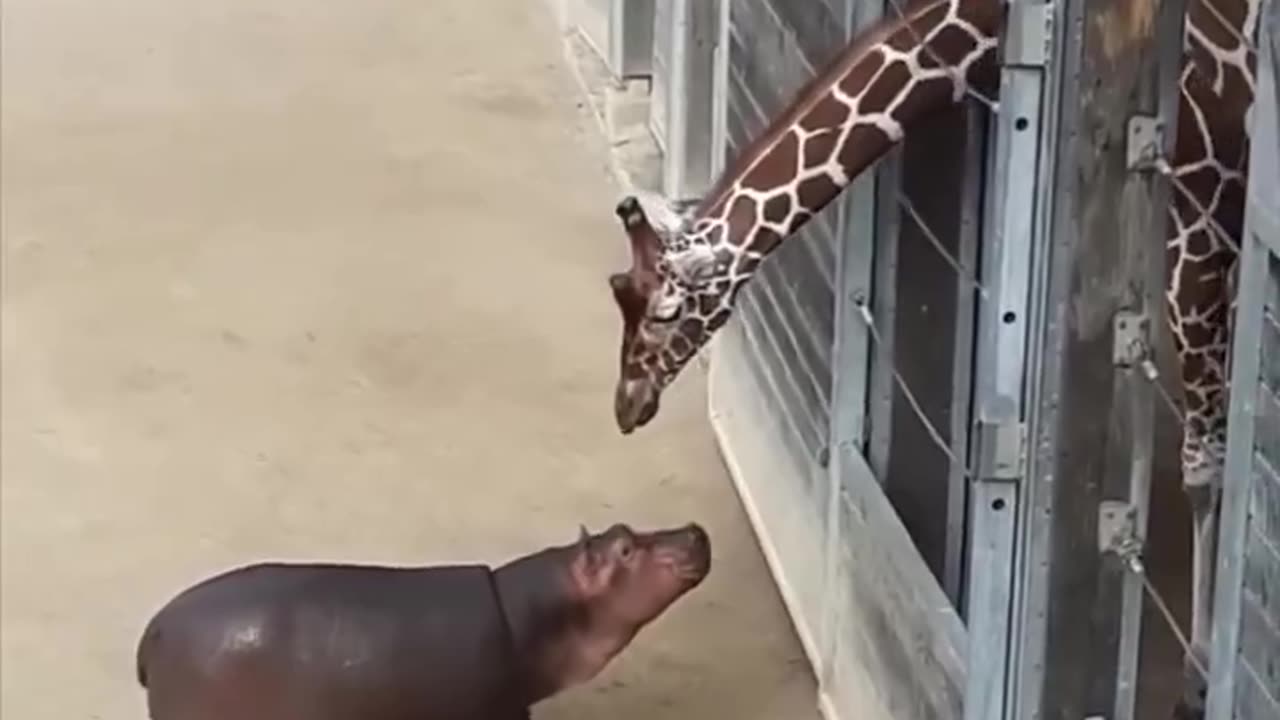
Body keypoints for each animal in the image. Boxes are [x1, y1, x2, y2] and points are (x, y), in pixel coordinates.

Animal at [601, 0, 1259, 707]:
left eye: (665, 313)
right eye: (621, 295)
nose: (626, 407)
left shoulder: (1204, 213)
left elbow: (1207, 467)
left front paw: (1199, 672)